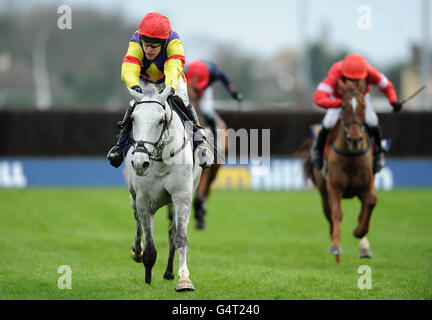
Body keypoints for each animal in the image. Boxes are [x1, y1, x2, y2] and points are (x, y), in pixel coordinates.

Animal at [304, 79, 374, 264]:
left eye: (364, 106)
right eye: (342, 107)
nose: (355, 139)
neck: (351, 156)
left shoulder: (366, 184)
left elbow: (370, 203)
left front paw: (360, 235)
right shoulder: (334, 187)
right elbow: (337, 215)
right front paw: (335, 246)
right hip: (324, 194)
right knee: (330, 219)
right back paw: (337, 257)